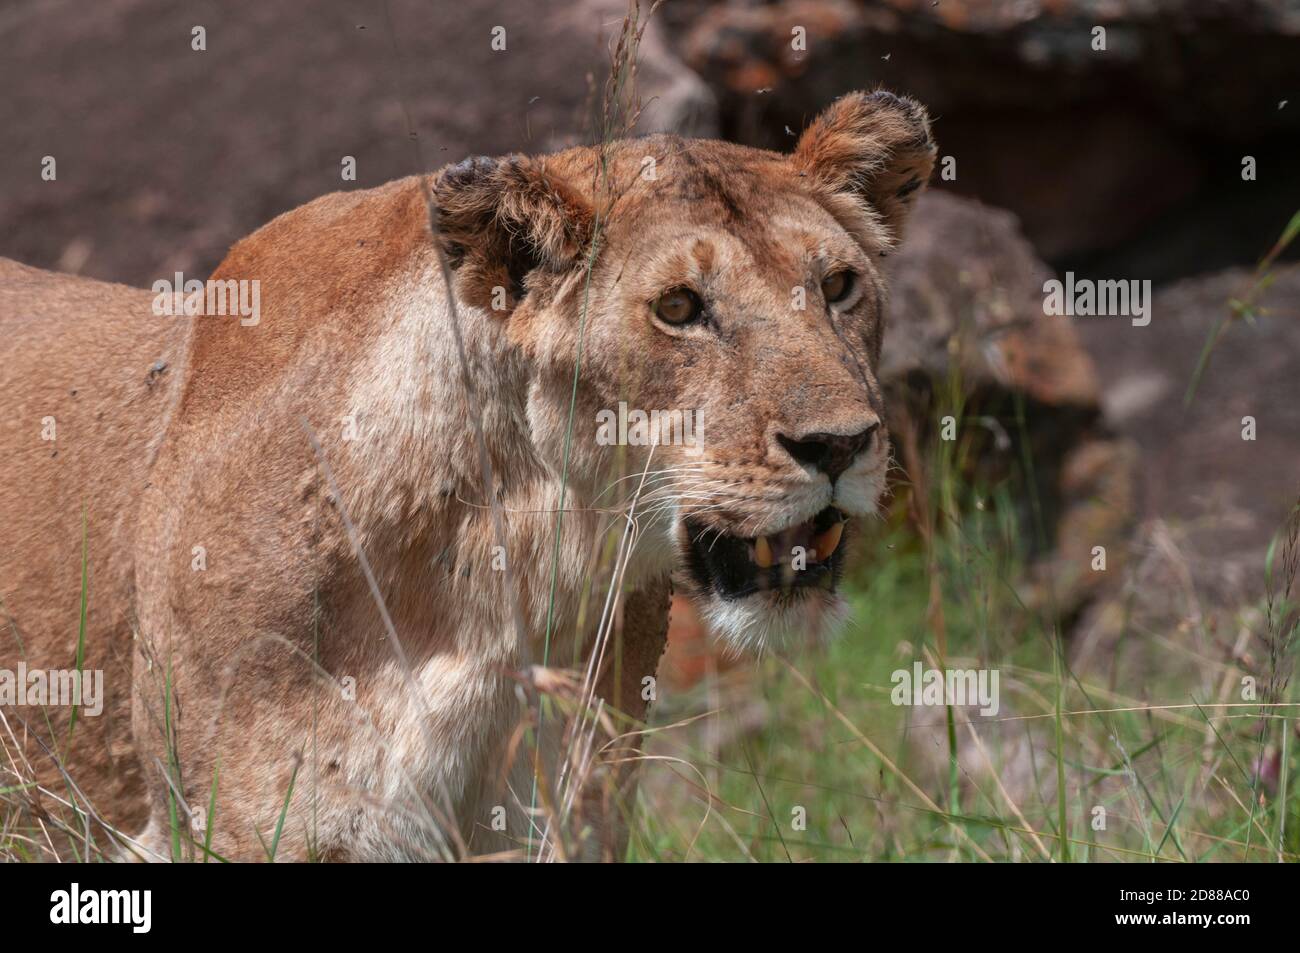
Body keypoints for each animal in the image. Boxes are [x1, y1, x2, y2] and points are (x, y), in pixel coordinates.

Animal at [0, 90, 934, 861]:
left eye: (839, 285)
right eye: (679, 308)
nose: (841, 444)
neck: (498, 569)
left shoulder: (571, 813)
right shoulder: (234, 823)